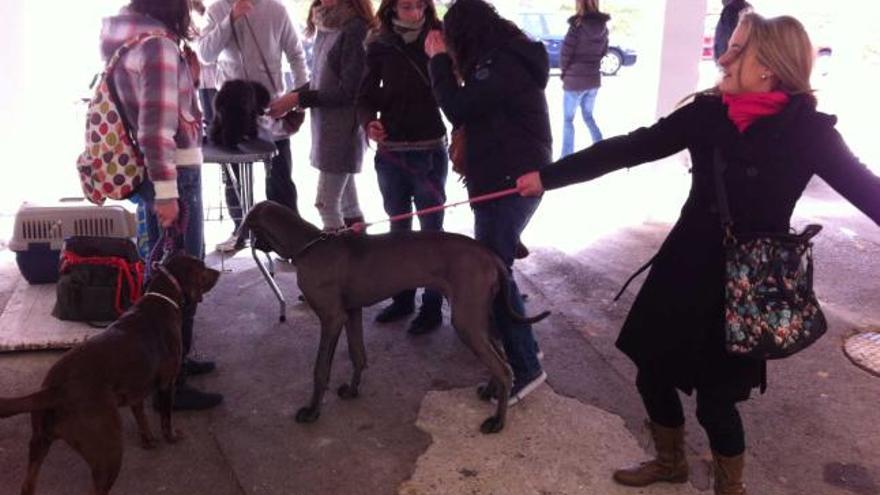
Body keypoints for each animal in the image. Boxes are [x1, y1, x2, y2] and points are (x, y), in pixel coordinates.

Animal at [0, 256, 219, 495]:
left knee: (27, 484)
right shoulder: (166, 383)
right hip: (108, 453)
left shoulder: (135, 392)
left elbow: (142, 418)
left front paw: (148, 440)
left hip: (39, 443)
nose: (218, 272)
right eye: (201, 266)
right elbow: (166, 417)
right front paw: (170, 437)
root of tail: (54, 389)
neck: (163, 297)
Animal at [244, 200, 552, 436]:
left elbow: (320, 369)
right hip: (477, 316)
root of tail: (491, 256)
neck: (309, 245)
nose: (250, 244)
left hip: (466, 320)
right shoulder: (351, 313)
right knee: (499, 354)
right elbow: (358, 355)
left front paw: (311, 411)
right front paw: (352, 390)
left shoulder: (331, 318)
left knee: (504, 367)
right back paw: (490, 390)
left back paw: (498, 422)